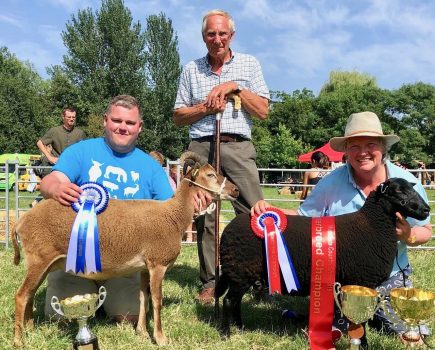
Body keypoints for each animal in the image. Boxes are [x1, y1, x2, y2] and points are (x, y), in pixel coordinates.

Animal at [218, 178, 432, 336]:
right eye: (399, 191)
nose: (426, 210)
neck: (373, 224)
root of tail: (228, 228)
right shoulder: (362, 281)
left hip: (241, 273)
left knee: (235, 301)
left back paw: (240, 327)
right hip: (239, 270)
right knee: (229, 301)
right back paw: (226, 333)